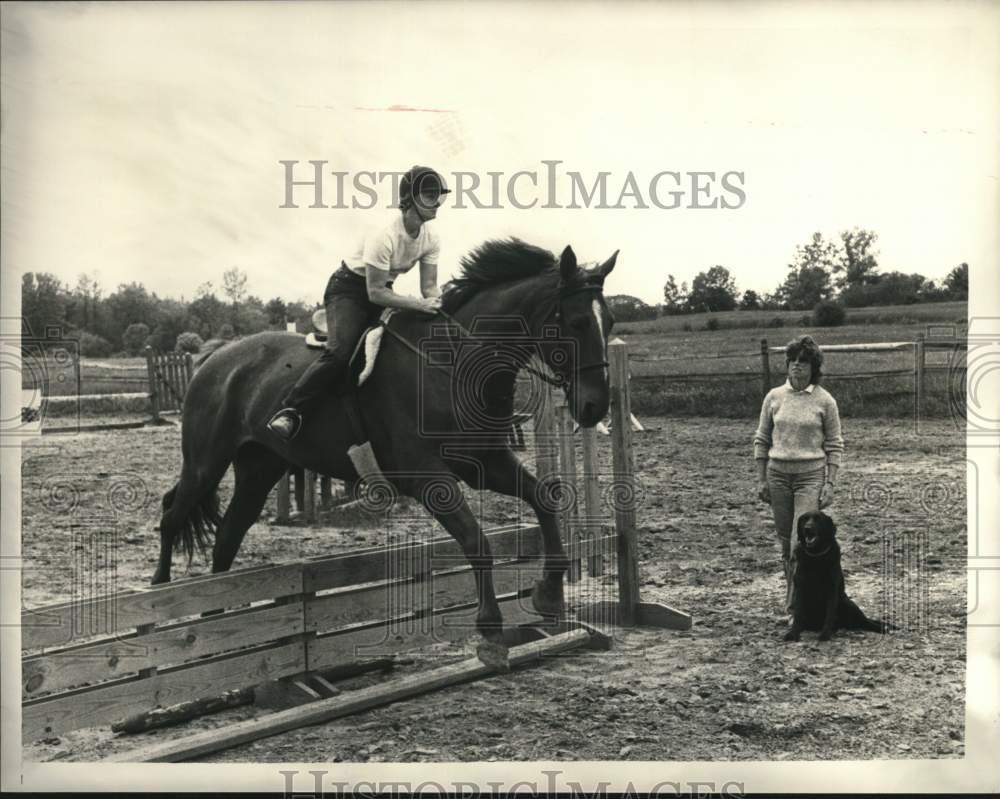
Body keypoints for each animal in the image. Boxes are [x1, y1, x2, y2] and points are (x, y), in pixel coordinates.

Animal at [152, 239, 616, 668]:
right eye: (576, 322)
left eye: (609, 321)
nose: (595, 407)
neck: (457, 363)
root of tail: (216, 355)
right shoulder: (426, 475)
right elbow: (475, 539)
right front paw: (490, 631)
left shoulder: (486, 462)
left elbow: (544, 499)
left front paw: (548, 596)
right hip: (206, 462)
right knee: (173, 515)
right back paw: (159, 601)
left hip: (259, 467)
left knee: (228, 534)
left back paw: (218, 624)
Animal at [780, 512, 892, 644]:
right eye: (804, 519)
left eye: (818, 519)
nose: (807, 528)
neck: (816, 556)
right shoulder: (800, 588)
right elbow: (798, 614)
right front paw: (793, 633)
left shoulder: (831, 590)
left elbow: (829, 615)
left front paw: (825, 634)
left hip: (846, 602)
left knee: (866, 622)